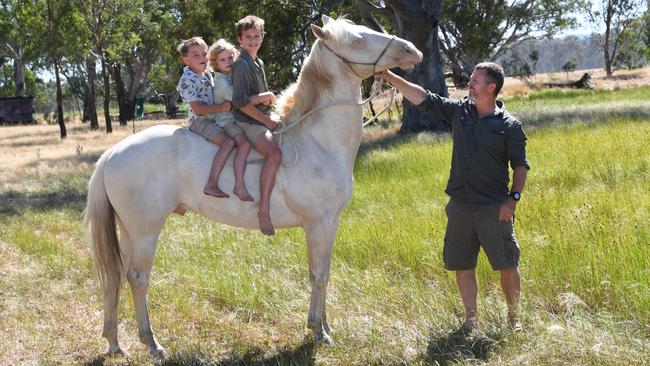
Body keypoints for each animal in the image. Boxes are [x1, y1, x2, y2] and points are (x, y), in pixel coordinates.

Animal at [85, 15, 420, 358]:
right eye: (357, 41)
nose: (411, 49)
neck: (315, 140)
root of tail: (112, 153)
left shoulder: (332, 222)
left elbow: (324, 272)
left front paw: (325, 326)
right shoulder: (318, 223)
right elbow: (318, 274)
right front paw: (318, 331)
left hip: (128, 231)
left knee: (116, 277)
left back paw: (114, 342)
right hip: (145, 232)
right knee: (138, 279)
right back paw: (151, 343)